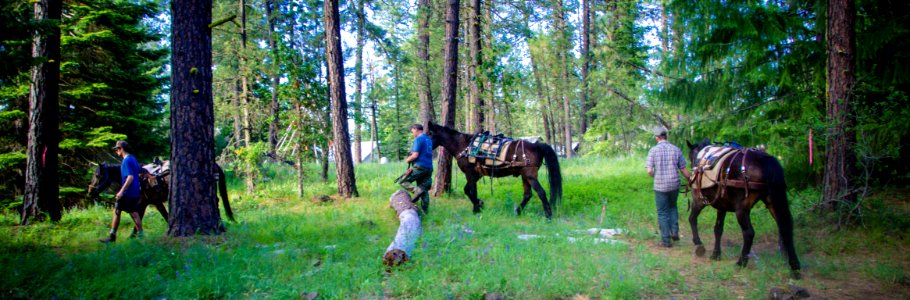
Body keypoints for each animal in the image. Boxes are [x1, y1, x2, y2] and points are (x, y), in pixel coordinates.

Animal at [88, 162, 235, 223]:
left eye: (97, 175)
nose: (90, 191)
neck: (138, 179)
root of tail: (215, 164)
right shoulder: (144, 204)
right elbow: (138, 219)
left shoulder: (156, 202)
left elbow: (165, 216)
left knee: (216, 201)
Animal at [428, 121, 564, 218]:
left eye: (429, 133)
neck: (464, 146)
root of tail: (536, 145)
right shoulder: (477, 175)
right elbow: (467, 190)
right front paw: (480, 204)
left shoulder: (470, 173)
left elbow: (472, 191)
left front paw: (476, 209)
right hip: (524, 175)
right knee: (527, 194)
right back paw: (518, 211)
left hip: (530, 175)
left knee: (541, 192)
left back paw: (548, 215)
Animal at [688, 139, 800, 278]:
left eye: (690, 156)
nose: (692, 170)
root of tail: (764, 159)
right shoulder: (722, 206)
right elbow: (718, 229)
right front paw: (716, 254)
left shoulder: (699, 201)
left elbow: (692, 219)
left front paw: (698, 242)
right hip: (772, 203)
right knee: (785, 227)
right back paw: (794, 266)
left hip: (741, 210)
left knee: (749, 233)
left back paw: (741, 262)